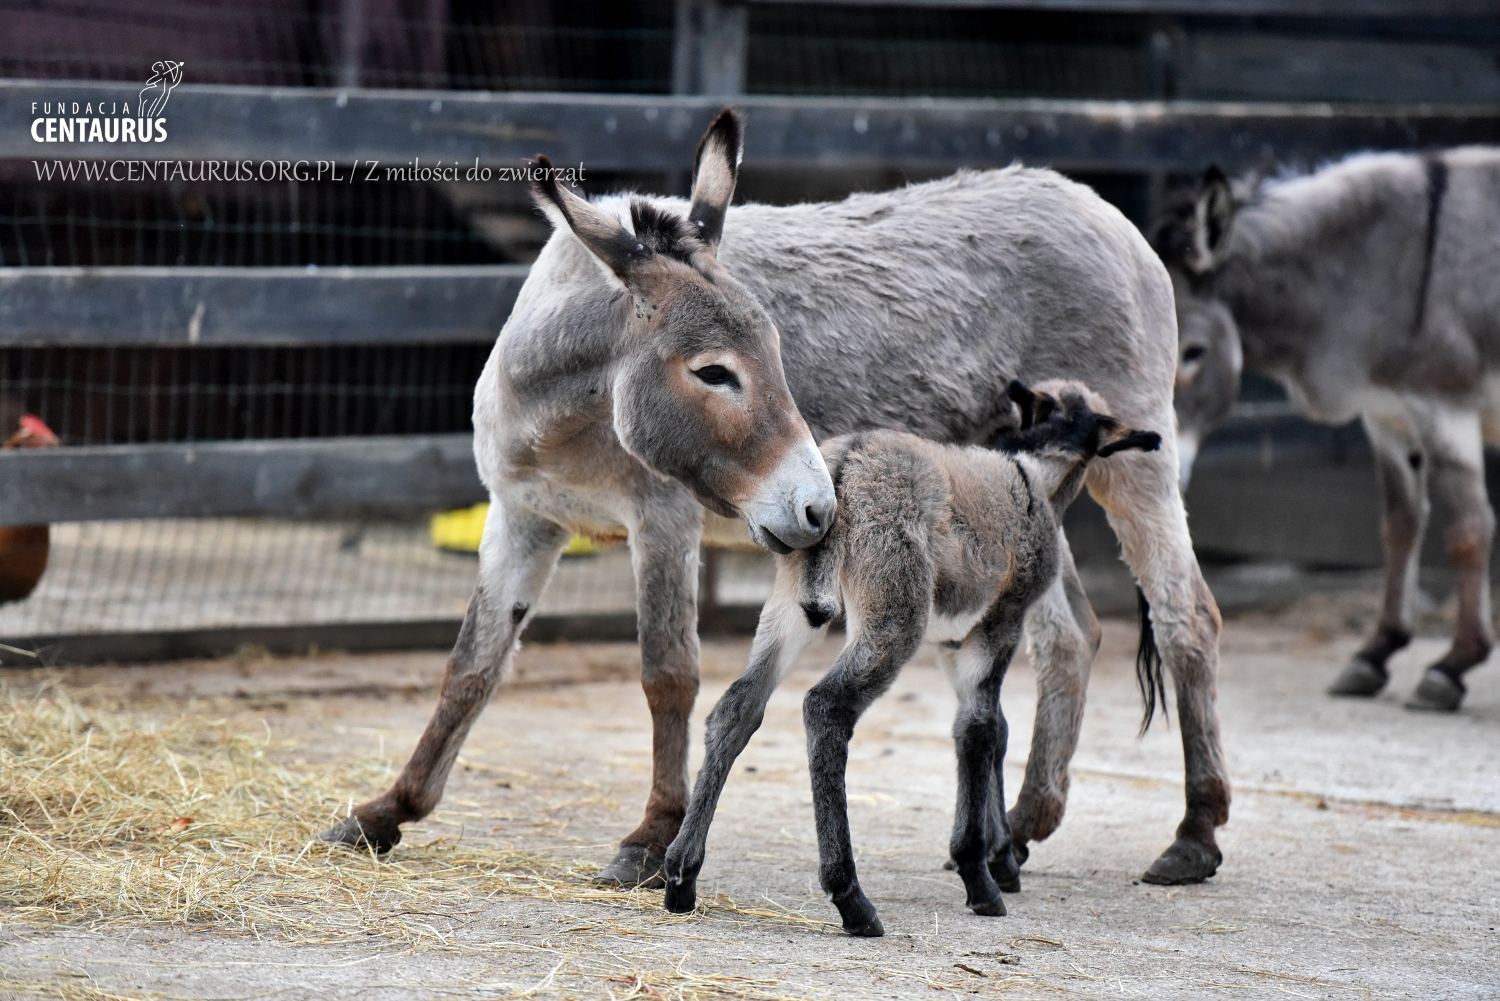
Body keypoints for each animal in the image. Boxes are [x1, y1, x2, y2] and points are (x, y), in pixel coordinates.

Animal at [663, 379, 1164, 936]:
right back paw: (852, 898)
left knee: (738, 709)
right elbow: (978, 731)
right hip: (894, 615)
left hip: (790, 605)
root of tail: (849, 460)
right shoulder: (1000, 626)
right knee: (826, 708)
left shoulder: (953, 645)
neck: (1032, 476)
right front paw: (980, 876)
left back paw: (681, 877)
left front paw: (1001, 860)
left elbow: (992, 728)